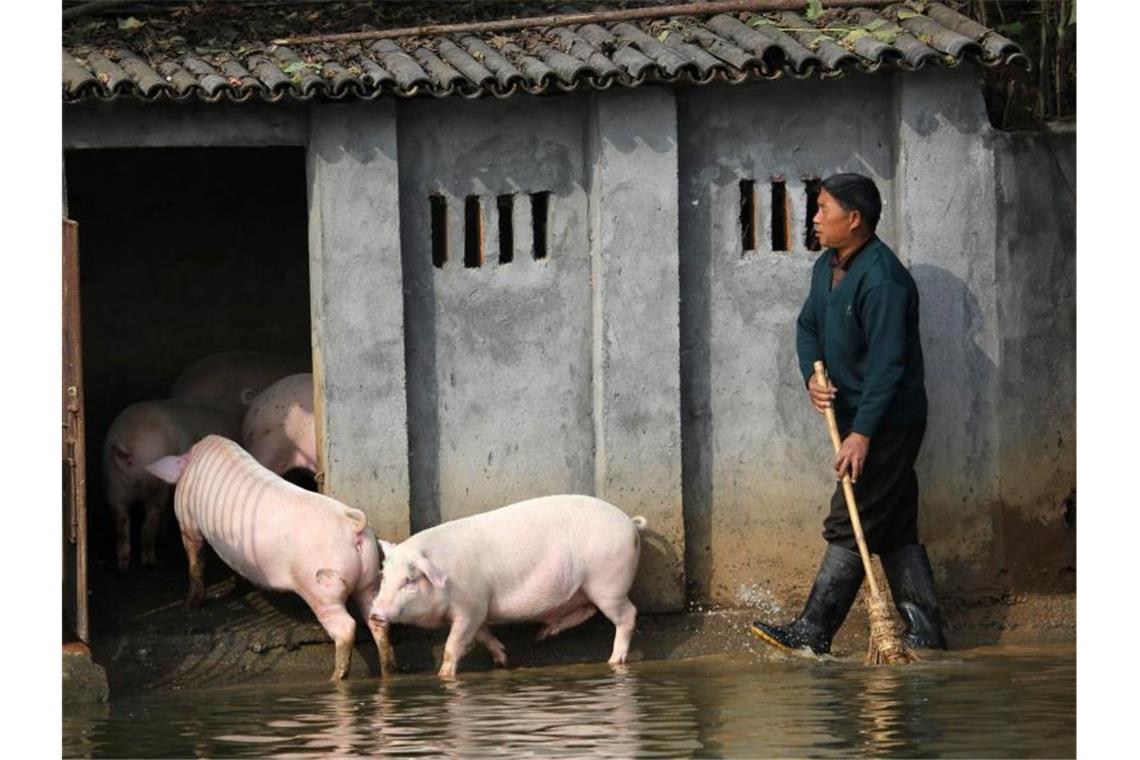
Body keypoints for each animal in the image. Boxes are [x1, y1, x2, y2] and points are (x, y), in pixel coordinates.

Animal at [102, 401, 238, 574]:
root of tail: (130, 457)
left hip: (114, 487)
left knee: (122, 523)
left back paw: (123, 568)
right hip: (154, 487)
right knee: (149, 524)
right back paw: (151, 562)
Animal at [144, 437, 394, 679]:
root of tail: (353, 527)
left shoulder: (187, 519)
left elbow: (195, 558)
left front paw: (190, 605)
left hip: (322, 589)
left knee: (346, 627)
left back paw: (335, 677)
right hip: (370, 579)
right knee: (377, 619)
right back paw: (387, 671)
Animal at [369, 496, 647, 679]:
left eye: (410, 580)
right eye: (383, 575)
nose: (375, 613)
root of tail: (629, 523)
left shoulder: (471, 606)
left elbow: (454, 645)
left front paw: (443, 676)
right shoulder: (479, 610)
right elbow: (482, 635)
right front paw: (503, 659)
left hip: (608, 582)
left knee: (628, 615)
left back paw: (614, 660)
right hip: (588, 588)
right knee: (588, 610)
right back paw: (543, 634)